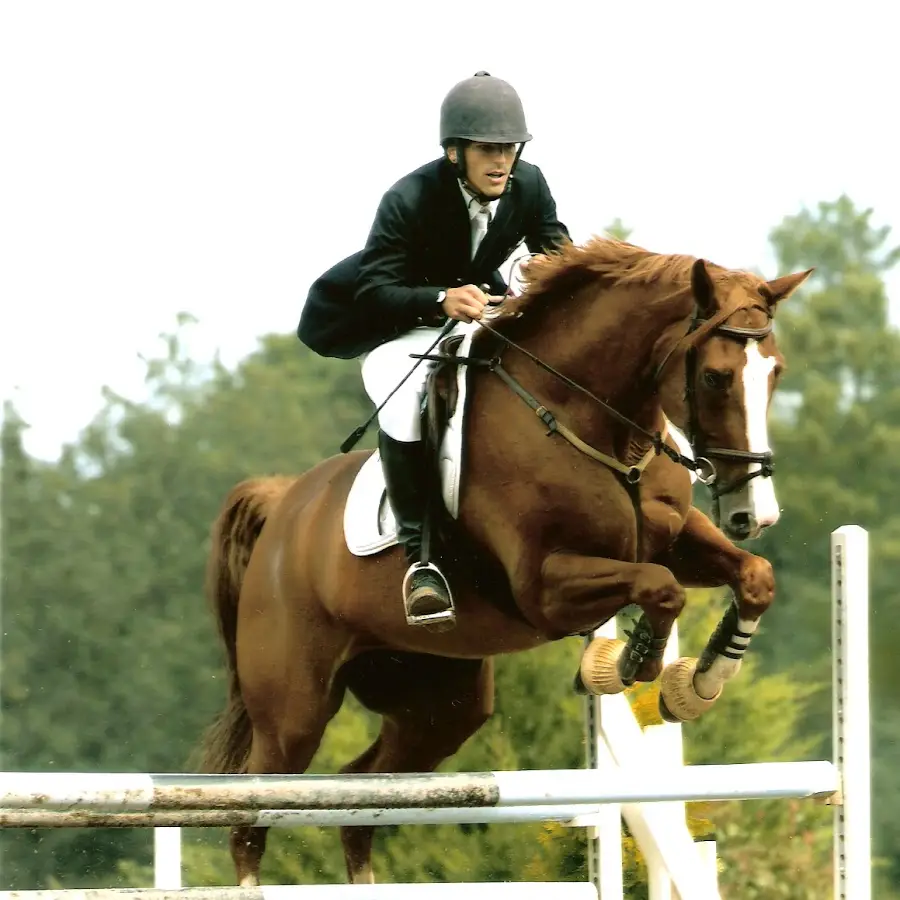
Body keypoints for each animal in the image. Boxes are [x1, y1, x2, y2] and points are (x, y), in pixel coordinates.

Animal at [200, 237, 812, 884]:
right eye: (717, 377)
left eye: (775, 372)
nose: (754, 515)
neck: (592, 422)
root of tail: (283, 507)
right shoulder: (546, 588)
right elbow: (660, 587)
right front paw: (628, 664)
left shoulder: (673, 539)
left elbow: (752, 578)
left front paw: (698, 683)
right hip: (294, 712)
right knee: (250, 814)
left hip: (438, 702)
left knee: (361, 795)